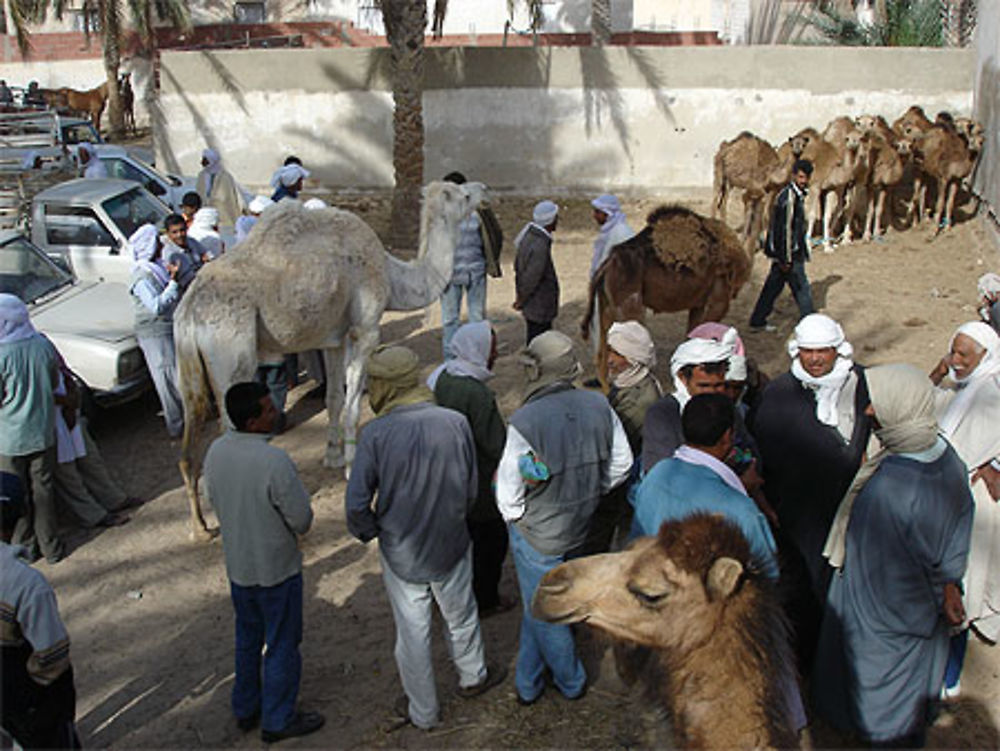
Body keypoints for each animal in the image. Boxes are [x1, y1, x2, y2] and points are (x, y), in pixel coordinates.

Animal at [176, 182, 488, 540]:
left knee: (190, 433)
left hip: (189, 365)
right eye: (464, 196)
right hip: (232, 349)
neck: (391, 273)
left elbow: (334, 398)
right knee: (229, 427)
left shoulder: (333, 338)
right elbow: (353, 404)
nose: (483, 188)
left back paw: (199, 527)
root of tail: (190, 307)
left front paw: (333, 456)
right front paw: (351, 467)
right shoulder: (365, 330)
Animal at [584, 204, 752, 382]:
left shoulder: (698, 302)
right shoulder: (719, 300)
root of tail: (607, 264)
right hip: (628, 306)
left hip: (606, 307)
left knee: (602, 357)